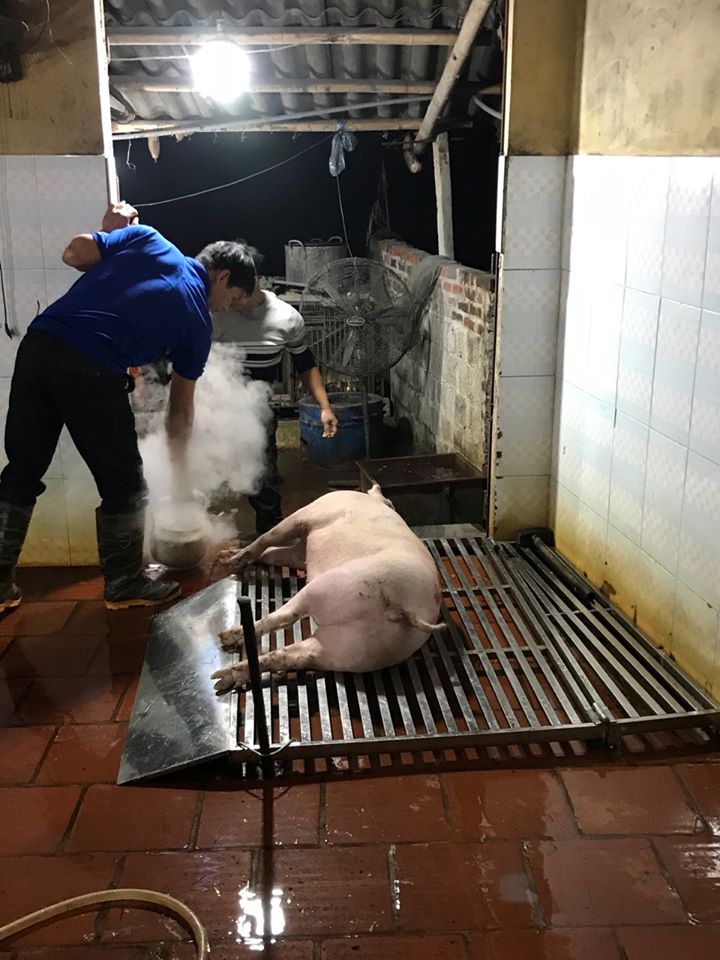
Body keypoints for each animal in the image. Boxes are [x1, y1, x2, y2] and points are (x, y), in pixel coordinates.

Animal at [210, 488, 444, 688]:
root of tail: (406, 607)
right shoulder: (298, 554)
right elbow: (271, 553)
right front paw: (226, 556)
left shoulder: (308, 514)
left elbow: (266, 539)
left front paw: (231, 561)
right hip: (356, 650)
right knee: (293, 656)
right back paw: (222, 679)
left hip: (335, 586)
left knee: (285, 616)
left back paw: (225, 638)